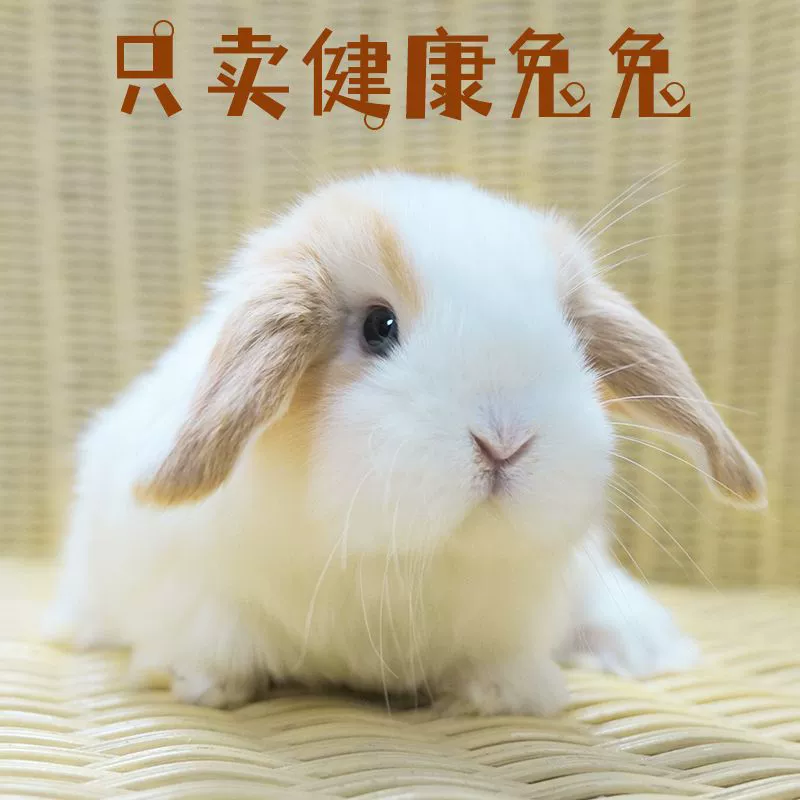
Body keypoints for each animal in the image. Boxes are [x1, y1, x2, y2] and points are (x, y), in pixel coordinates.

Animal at [44, 171, 766, 714]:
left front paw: (511, 693)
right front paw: (204, 683)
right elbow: (206, 640)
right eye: (378, 326)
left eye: (572, 335)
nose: (505, 441)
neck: (400, 560)